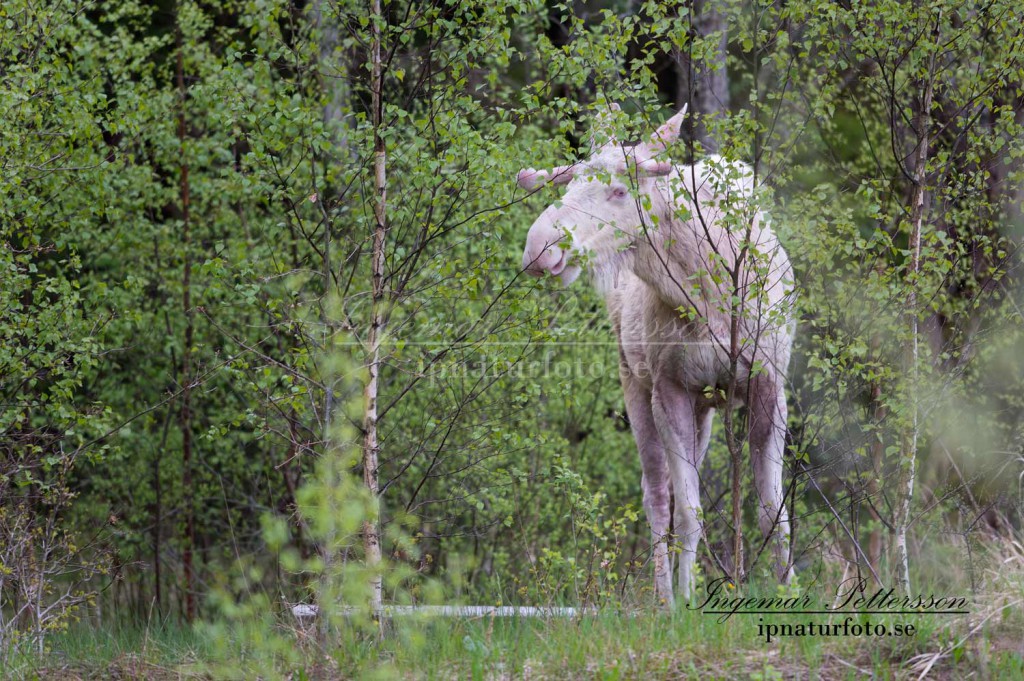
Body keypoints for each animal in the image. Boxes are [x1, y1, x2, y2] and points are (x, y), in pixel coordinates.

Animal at [516, 103, 794, 602]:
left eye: (619, 190)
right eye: (569, 184)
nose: (538, 248)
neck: (707, 290)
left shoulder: (770, 380)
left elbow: (772, 512)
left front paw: (792, 592)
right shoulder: (669, 389)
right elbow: (687, 512)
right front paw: (685, 603)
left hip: (707, 406)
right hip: (635, 384)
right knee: (656, 497)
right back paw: (663, 599)